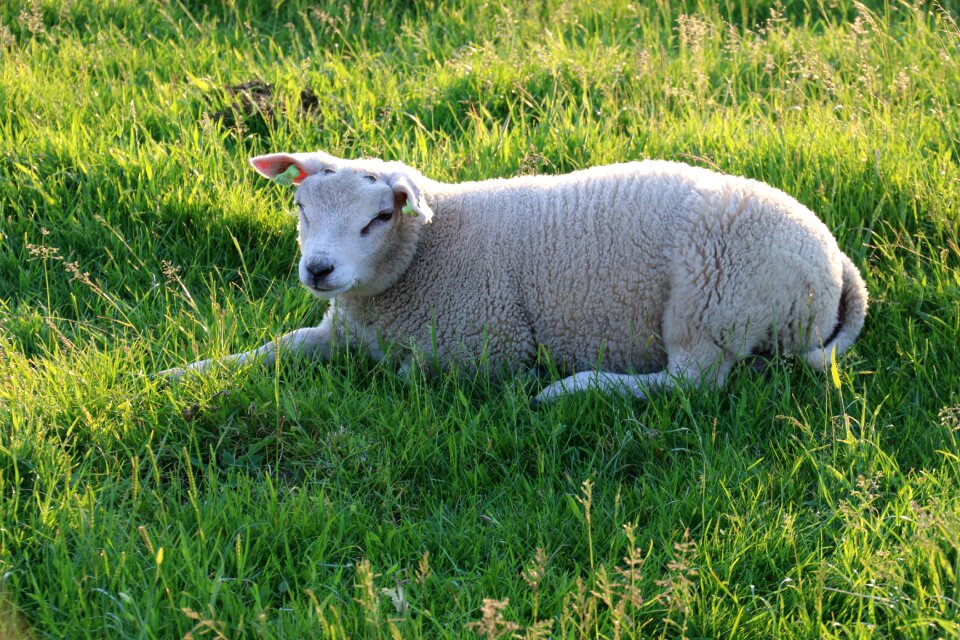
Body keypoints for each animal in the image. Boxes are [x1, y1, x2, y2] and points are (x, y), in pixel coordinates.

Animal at [159, 151, 872, 400]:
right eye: (302, 207)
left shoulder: (485, 347)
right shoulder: (337, 328)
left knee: (690, 384)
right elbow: (272, 349)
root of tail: (837, 263)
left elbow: (410, 374)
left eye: (378, 217)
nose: (319, 270)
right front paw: (178, 375)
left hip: (712, 300)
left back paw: (572, 388)